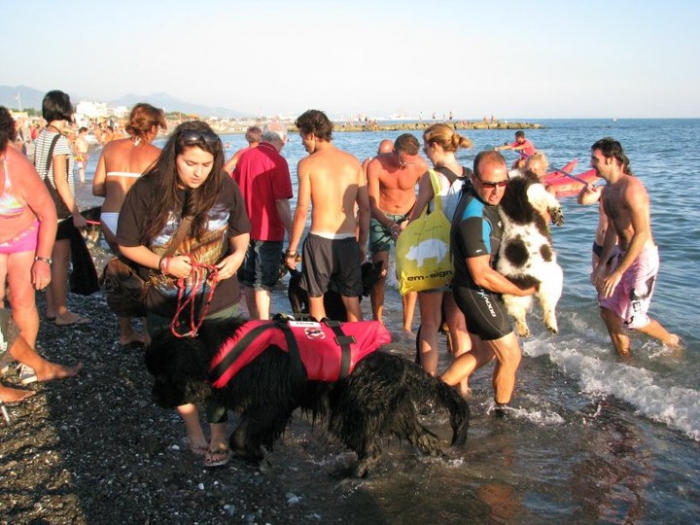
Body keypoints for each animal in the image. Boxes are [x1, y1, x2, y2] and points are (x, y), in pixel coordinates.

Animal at [144, 318, 470, 476]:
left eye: (164, 375)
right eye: (154, 373)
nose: (154, 398)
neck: (224, 348)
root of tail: (401, 366)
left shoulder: (270, 404)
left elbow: (240, 436)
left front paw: (256, 456)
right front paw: (256, 453)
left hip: (352, 413)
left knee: (373, 449)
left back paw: (350, 475)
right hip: (394, 413)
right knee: (426, 439)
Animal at [494, 172, 568, 336]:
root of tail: (527, 277)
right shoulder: (537, 193)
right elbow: (551, 201)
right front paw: (558, 216)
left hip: (513, 294)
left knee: (518, 313)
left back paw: (524, 330)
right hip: (554, 277)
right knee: (548, 306)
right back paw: (551, 326)